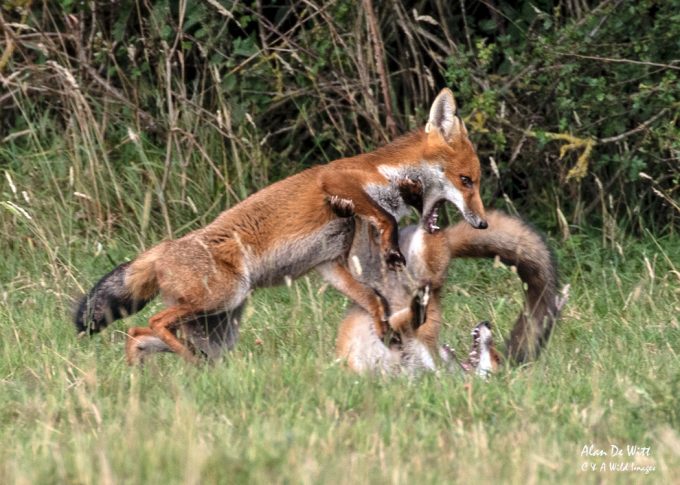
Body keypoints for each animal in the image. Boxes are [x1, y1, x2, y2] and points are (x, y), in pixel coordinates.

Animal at [73, 88, 488, 364]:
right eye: (466, 180)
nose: (482, 223)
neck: (388, 178)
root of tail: (162, 248)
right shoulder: (335, 180)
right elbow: (383, 219)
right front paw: (392, 248)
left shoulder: (331, 263)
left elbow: (374, 299)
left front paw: (386, 331)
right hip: (219, 299)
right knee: (153, 323)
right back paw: (181, 363)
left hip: (216, 325)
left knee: (136, 334)